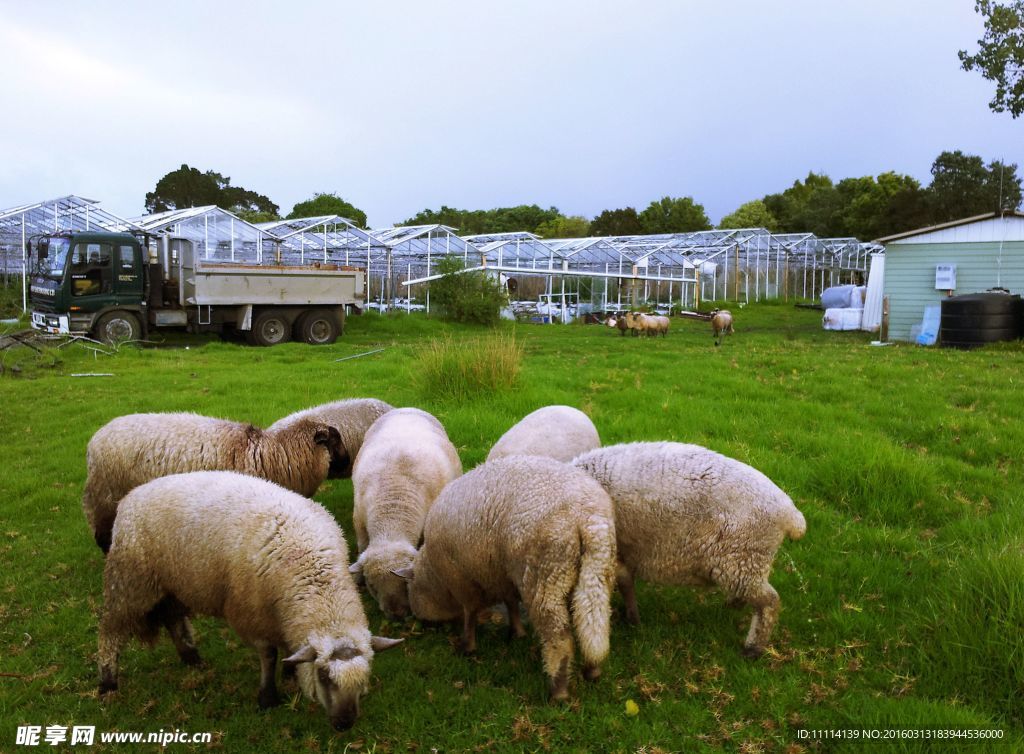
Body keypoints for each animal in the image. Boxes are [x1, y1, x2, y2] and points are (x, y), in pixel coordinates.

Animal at [80, 411, 344, 553]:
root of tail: (94, 441)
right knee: (104, 532)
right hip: (107, 496)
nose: (348, 461)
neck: (274, 454)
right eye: (334, 441)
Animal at [95, 471, 399, 729]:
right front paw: (268, 697)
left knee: (173, 618)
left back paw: (192, 658)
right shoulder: (253, 615)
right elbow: (268, 655)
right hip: (131, 580)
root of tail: (131, 496)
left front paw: (290, 671)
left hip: (172, 583)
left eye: (364, 677)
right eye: (324, 676)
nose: (344, 724)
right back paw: (108, 683)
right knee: (110, 630)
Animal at [352, 405, 464, 618]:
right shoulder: (359, 518)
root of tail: (407, 407)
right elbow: (362, 546)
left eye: (405, 583)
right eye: (373, 587)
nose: (396, 613)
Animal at [393, 456, 614, 704]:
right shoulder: (502, 576)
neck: (435, 576)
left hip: (545, 577)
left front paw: (467, 646)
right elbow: (511, 603)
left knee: (558, 637)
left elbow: (470, 612)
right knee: (593, 620)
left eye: (410, 589)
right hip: (598, 568)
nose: (416, 618)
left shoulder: (462, 580)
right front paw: (517, 632)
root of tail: (587, 516)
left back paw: (558, 691)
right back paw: (593, 669)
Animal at [573, 442, 802, 659]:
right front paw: (633, 617)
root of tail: (791, 515)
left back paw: (753, 648)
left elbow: (625, 584)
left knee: (770, 602)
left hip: (742, 559)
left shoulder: (617, 551)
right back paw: (734, 605)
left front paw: (632, 620)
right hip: (748, 562)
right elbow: (626, 582)